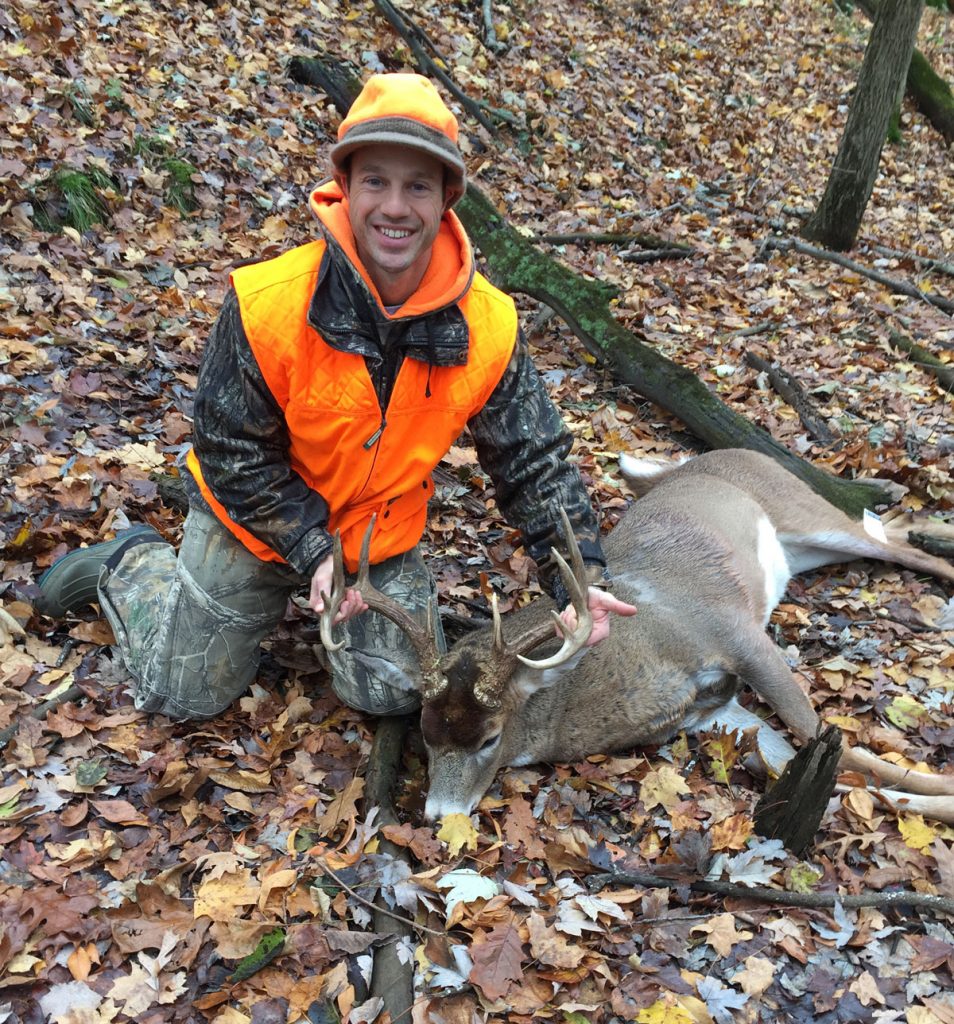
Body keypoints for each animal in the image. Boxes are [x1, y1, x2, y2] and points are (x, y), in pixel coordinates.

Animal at [319, 448, 954, 825]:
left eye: (488, 738)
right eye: (425, 736)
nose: (435, 815)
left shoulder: (736, 631)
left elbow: (830, 737)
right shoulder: (713, 709)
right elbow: (829, 769)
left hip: (803, 510)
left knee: (894, 544)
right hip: (807, 548)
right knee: (889, 529)